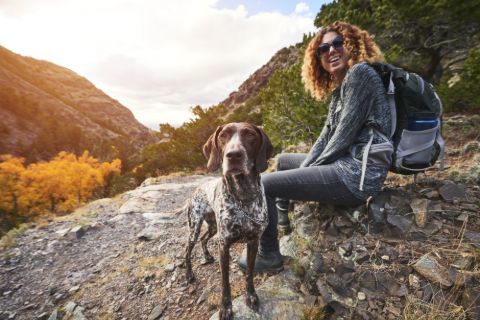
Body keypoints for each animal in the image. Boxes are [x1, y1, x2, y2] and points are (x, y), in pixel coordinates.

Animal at [184, 121, 274, 318]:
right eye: (223, 136)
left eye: (250, 135)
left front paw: (251, 296)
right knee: (188, 249)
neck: (243, 197)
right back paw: (188, 274)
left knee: (204, 239)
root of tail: (198, 188)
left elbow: (249, 273)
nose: (233, 155)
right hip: (194, 227)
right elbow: (225, 283)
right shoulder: (224, 247)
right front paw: (225, 308)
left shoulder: (253, 242)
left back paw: (207, 256)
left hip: (212, 227)